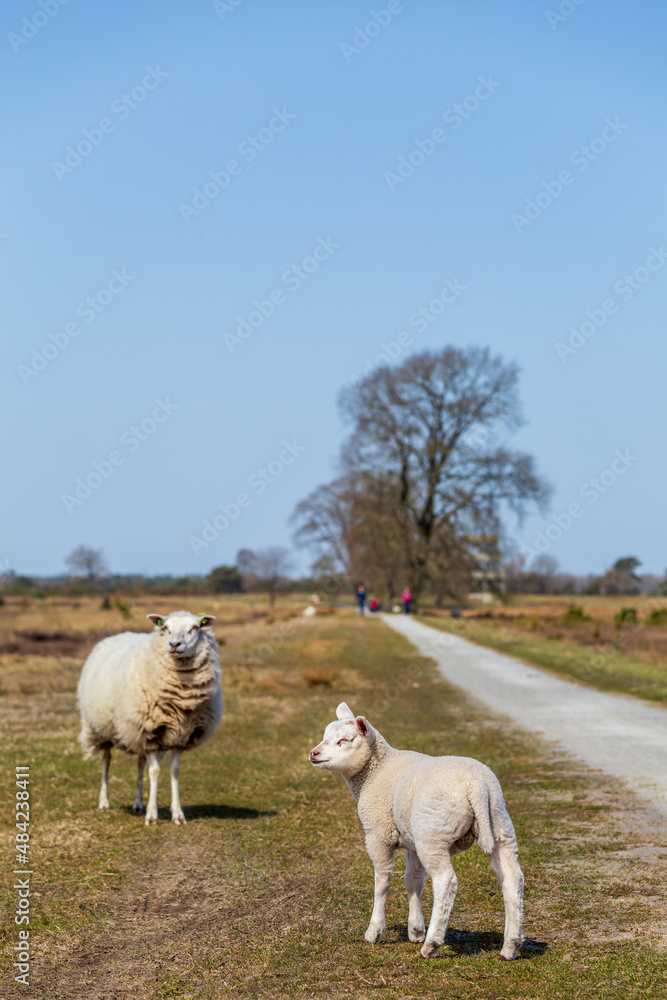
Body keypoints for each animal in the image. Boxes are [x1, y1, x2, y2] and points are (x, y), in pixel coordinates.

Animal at [77, 610, 222, 825]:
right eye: (166, 628)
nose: (174, 644)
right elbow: (155, 772)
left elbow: (174, 771)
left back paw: (138, 804)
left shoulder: (178, 736)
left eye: (195, 628)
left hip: (138, 732)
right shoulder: (152, 734)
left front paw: (177, 814)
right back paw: (104, 802)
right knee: (106, 761)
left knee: (140, 764)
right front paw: (152, 815)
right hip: (103, 729)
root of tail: (119, 634)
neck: (182, 697)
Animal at [309, 703, 524, 960]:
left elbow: (382, 882)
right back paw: (510, 945)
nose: (313, 753)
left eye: (344, 740)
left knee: (446, 882)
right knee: (512, 878)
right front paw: (415, 929)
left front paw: (375, 931)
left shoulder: (378, 834)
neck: (375, 771)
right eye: (325, 735)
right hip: (498, 825)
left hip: (433, 834)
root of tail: (477, 785)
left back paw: (432, 945)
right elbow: (412, 881)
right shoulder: (410, 840)